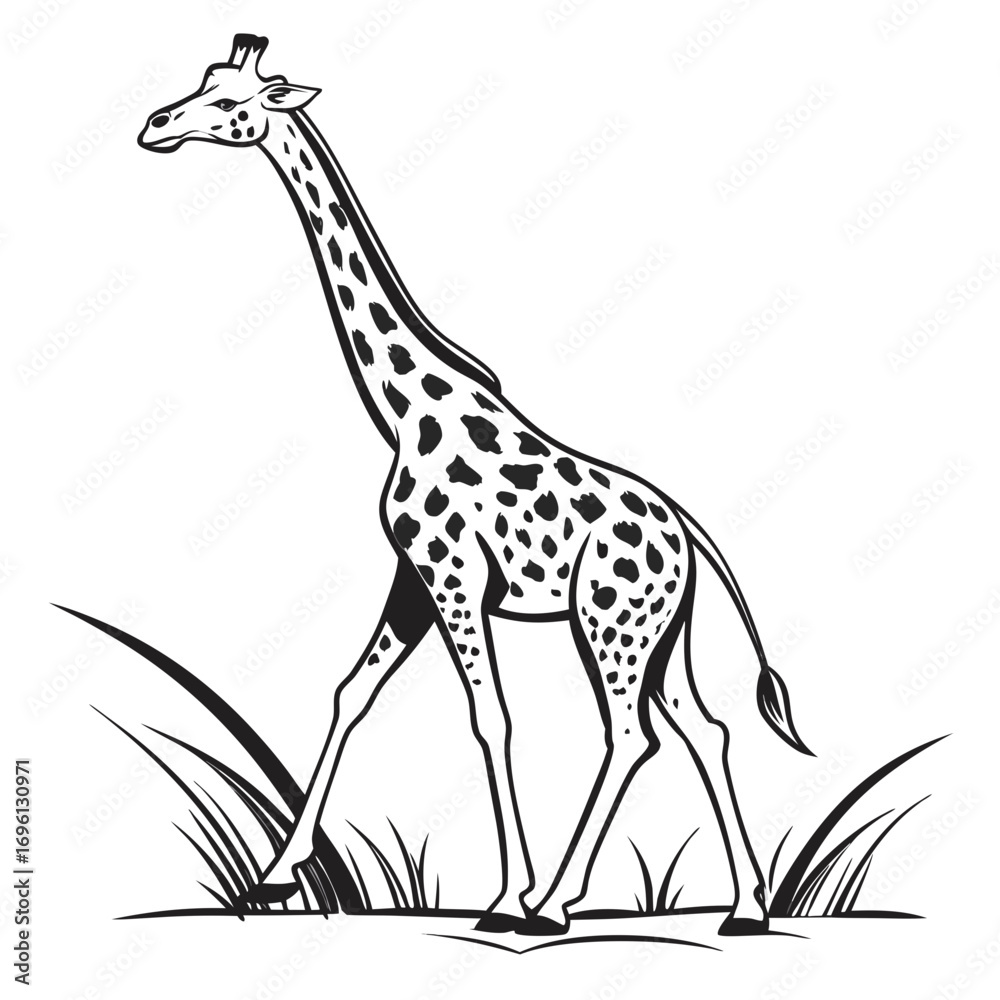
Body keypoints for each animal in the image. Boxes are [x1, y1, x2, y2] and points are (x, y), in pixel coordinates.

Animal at [139, 34, 812, 936]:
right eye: (203, 84)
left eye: (231, 101)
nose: (154, 124)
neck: (404, 408)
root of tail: (685, 533)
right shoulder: (412, 576)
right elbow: (352, 693)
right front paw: (275, 878)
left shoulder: (454, 574)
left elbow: (490, 719)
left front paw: (506, 896)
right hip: (660, 634)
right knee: (705, 730)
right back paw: (745, 908)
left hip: (610, 620)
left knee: (631, 734)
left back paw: (555, 904)